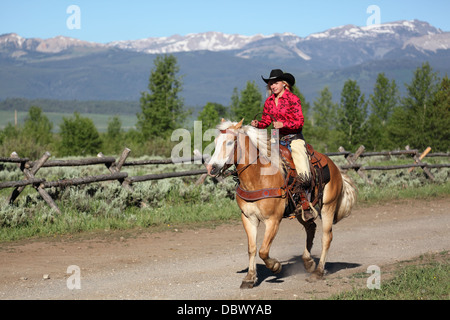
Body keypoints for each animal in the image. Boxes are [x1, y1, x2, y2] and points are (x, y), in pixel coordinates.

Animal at [206, 119, 356, 288]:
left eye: (230, 142)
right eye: (216, 142)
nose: (211, 168)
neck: (258, 178)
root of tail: (336, 168)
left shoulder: (273, 220)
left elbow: (263, 250)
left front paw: (276, 267)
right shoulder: (248, 218)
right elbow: (252, 248)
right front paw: (250, 278)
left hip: (328, 207)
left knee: (326, 238)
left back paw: (318, 272)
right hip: (301, 211)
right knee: (311, 228)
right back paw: (308, 262)